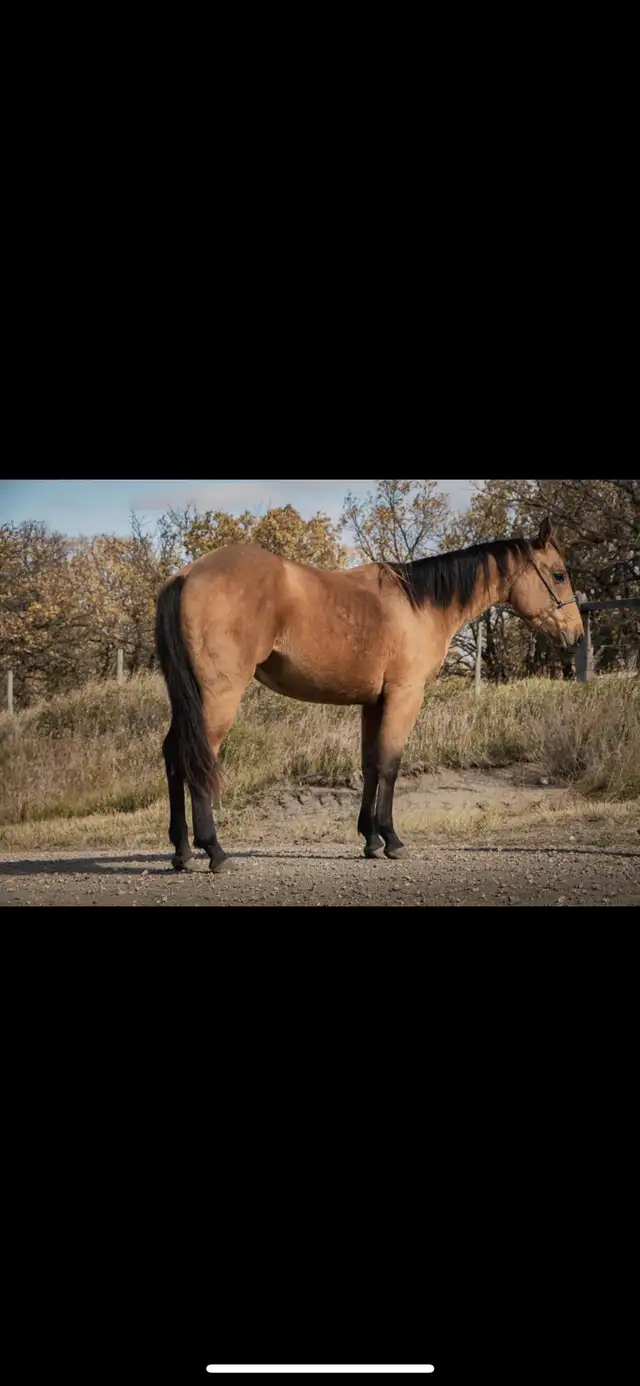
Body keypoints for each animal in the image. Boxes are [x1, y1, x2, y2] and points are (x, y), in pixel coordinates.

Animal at [155, 516, 584, 873]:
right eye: (559, 574)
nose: (576, 635)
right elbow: (391, 764)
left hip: (188, 699)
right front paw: (392, 840)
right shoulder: (404, 696)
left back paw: (182, 853)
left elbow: (371, 766)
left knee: (174, 755)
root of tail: (186, 575)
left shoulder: (372, 703)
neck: (418, 604)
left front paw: (371, 840)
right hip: (219, 697)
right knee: (199, 758)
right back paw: (214, 851)